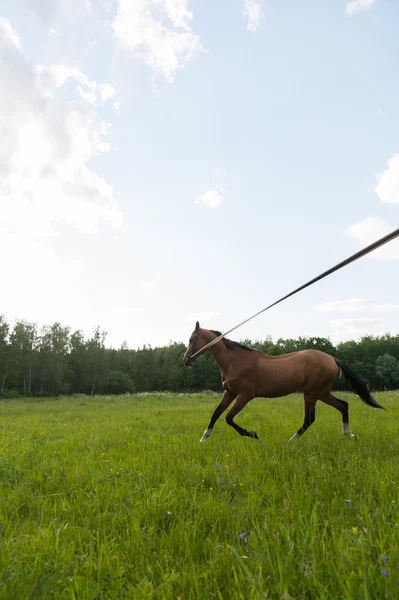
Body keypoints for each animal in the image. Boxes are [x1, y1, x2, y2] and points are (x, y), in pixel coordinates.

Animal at [184, 322, 384, 442]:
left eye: (192, 339)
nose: (186, 360)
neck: (235, 361)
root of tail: (333, 359)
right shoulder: (230, 393)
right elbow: (216, 414)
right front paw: (204, 438)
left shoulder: (244, 396)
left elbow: (228, 418)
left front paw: (252, 434)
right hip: (322, 392)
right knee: (343, 405)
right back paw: (349, 435)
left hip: (311, 393)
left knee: (309, 419)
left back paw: (291, 441)